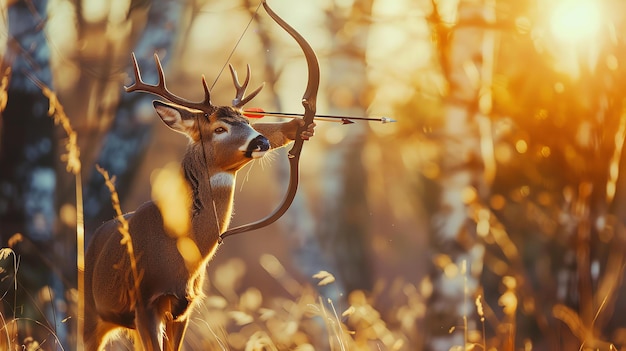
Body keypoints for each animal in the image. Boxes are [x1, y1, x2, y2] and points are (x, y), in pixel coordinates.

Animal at [83, 53, 314, 351]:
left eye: (249, 123)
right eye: (219, 128)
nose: (262, 141)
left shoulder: (185, 307)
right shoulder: (144, 302)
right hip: (90, 311)